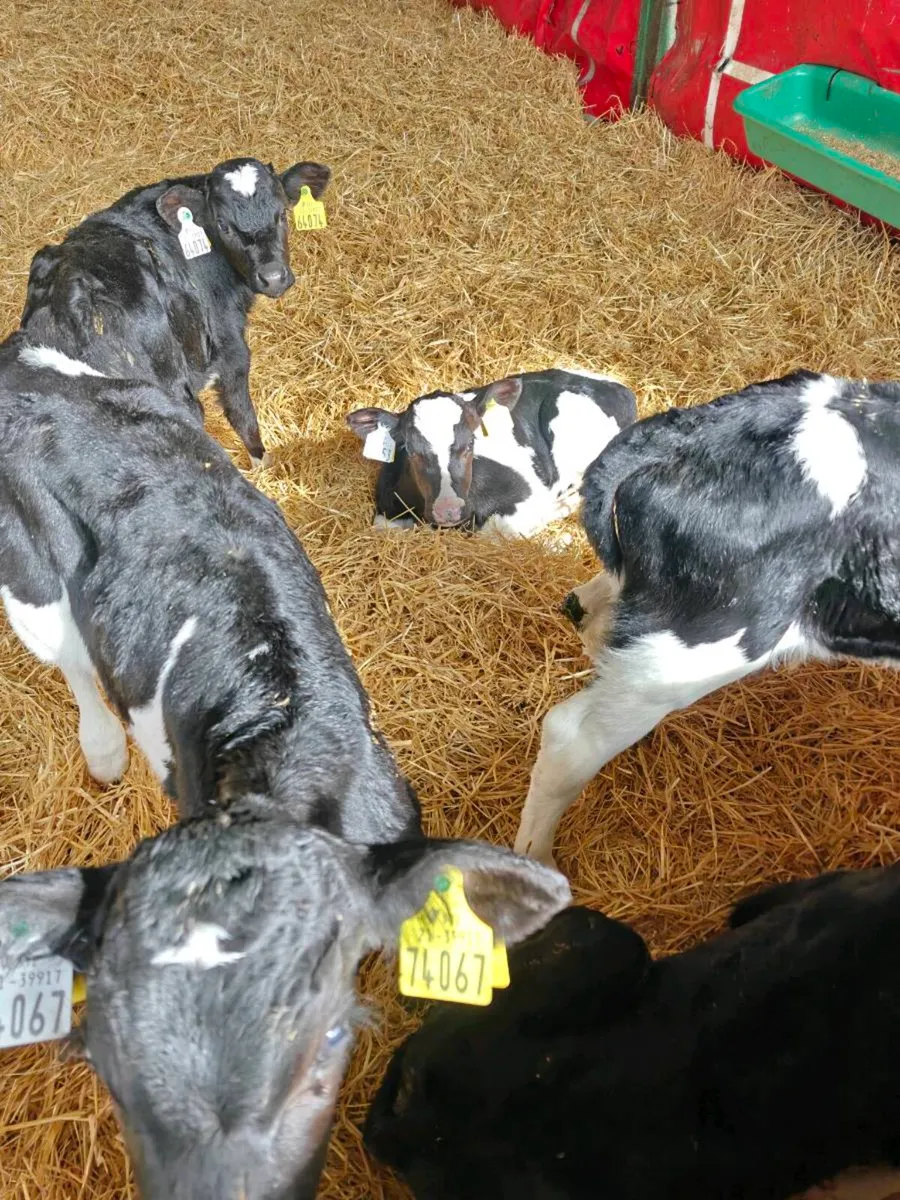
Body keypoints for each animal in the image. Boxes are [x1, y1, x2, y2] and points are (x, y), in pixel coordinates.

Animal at [0, 331, 572, 1198]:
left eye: (330, 1041)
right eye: (102, 1065)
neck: (290, 736)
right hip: (29, 583)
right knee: (69, 660)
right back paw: (101, 751)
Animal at [20, 156, 331, 468]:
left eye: (282, 214)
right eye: (223, 225)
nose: (274, 276)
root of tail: (73, 291)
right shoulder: (230, 347)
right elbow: (242, 413)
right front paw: (262, 460)